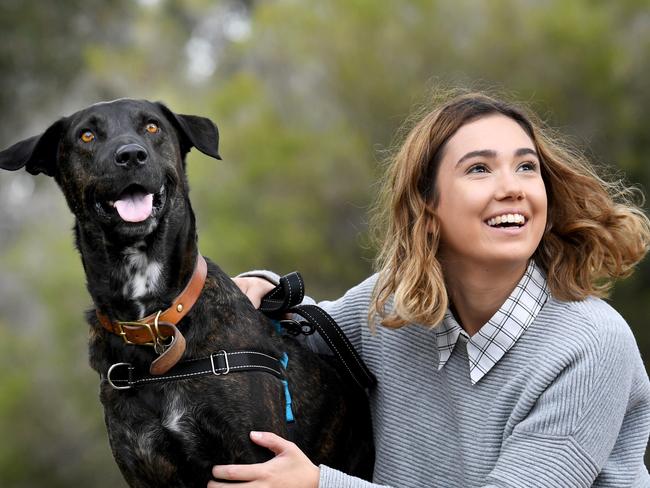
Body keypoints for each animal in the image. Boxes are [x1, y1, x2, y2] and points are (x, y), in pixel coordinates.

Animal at [0, 100, 372, 488]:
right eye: (86, 135)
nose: (130, 155)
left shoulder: (253, 460)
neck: (154, 323)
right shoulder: (145, 467)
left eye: (152, 127)